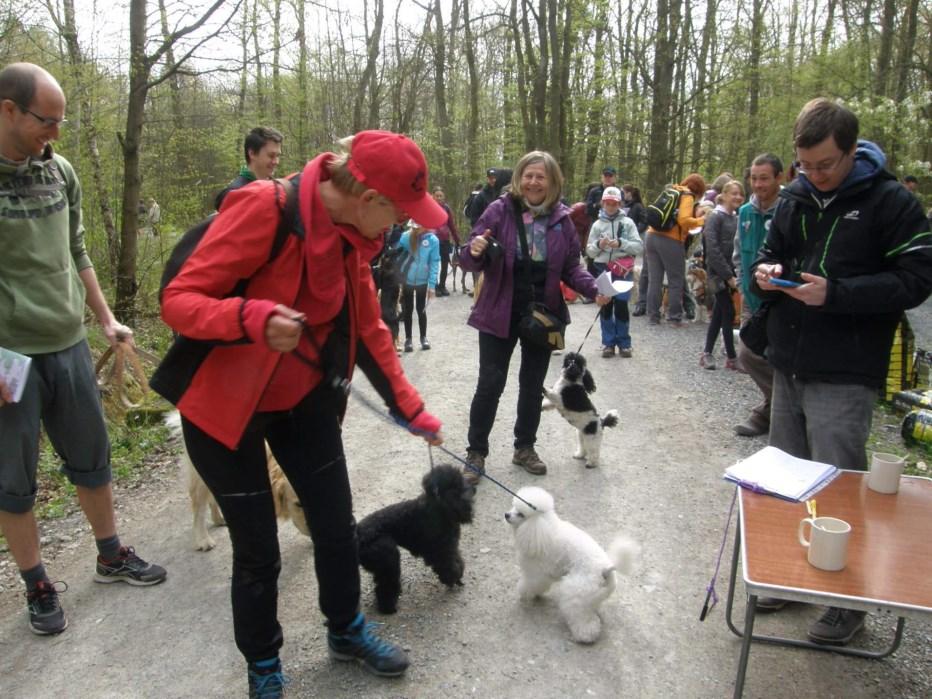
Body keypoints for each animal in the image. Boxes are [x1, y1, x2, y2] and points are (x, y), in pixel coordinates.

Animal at [506, 486, 636, 644]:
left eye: (521, 514)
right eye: (514, 506)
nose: (506, 515)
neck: (542, 526)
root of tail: (605, 570)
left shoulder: (536, 572)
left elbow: (530, 584)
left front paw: (526, 595)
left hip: (575, 593)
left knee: (582, 620)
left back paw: (583, 636)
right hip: (593, 596)